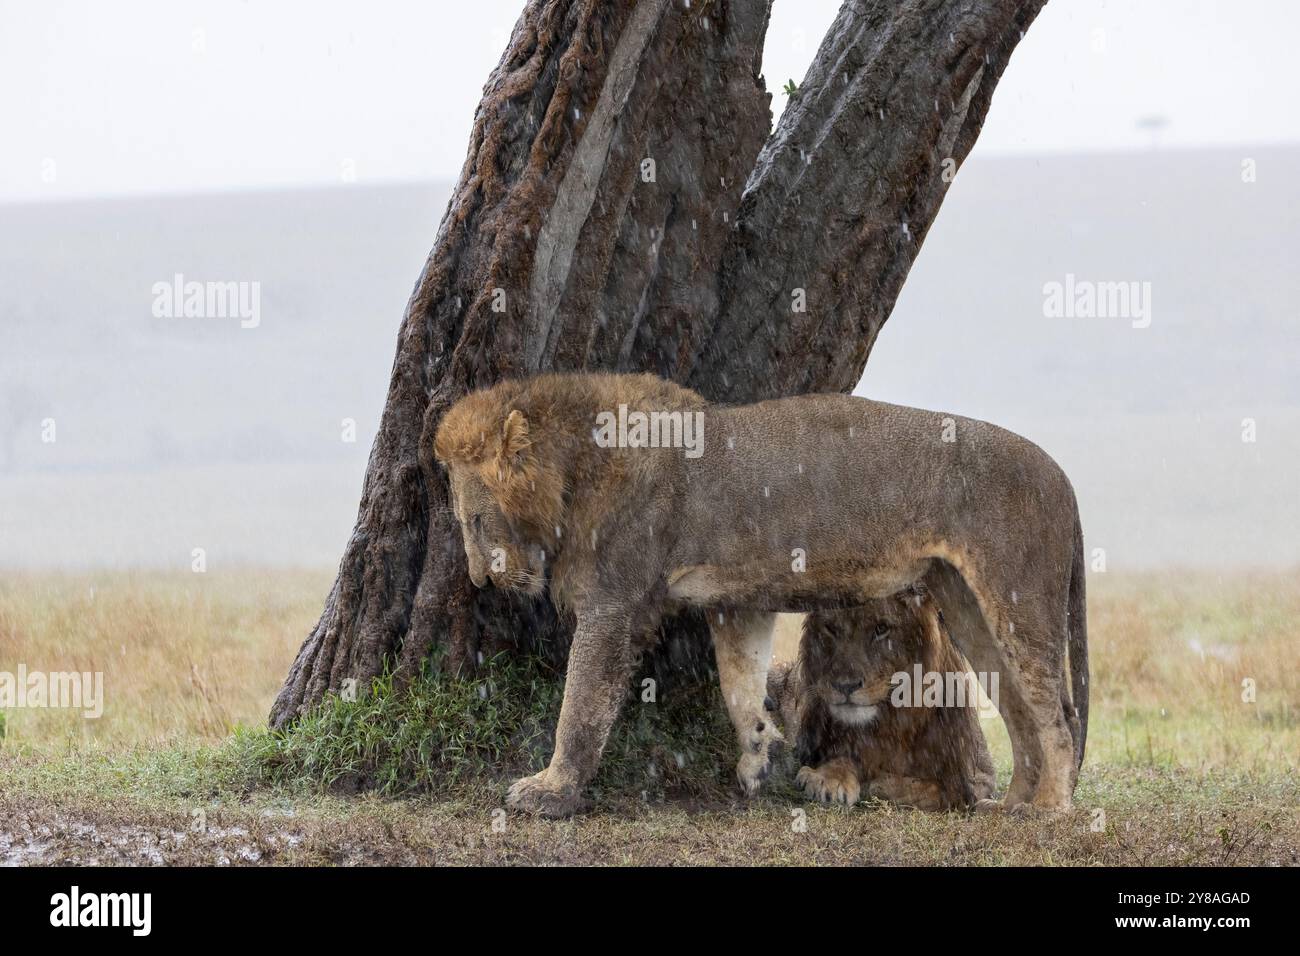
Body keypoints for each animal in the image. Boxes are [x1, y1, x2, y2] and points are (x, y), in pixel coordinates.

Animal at [769, 587, 993, 811]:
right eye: (831, 628)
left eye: (881, 628)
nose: (845, 685)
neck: (894, 724)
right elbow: (843, 756)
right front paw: (827, 779)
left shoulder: (980, 777)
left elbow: (940, 789)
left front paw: (876, 784)